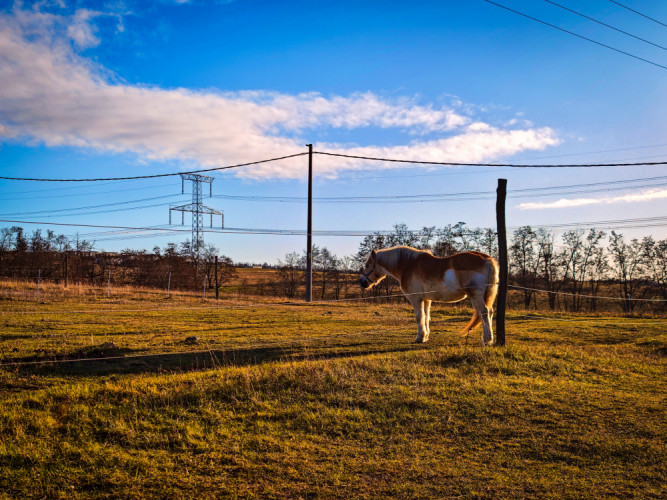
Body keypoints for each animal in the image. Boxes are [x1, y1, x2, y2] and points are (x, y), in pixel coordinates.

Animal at [360, 245, 500, 344]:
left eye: (367, 265)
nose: (362, 282)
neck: (408, 265)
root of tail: (487, 259)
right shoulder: (427, 299)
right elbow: (426, 317)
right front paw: (426, 337)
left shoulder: (416, 299)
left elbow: (419, 317)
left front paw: (419, 338)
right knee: (488, 313)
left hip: (476, 295)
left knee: (484, 313)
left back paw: (487, 340)